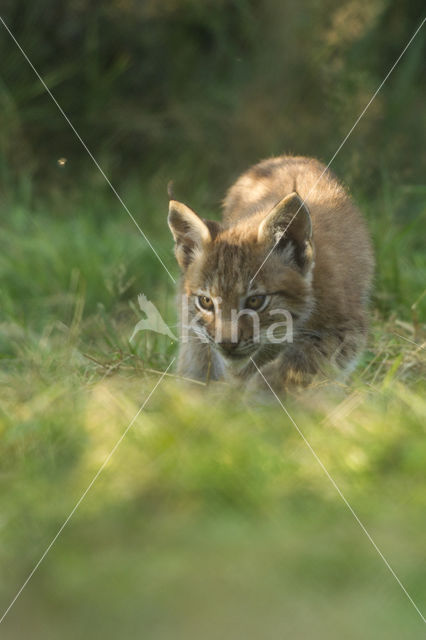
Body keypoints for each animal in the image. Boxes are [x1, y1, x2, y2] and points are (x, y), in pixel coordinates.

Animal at [167, 158, 372, 392]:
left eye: (255, 301)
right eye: (206, 301)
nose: (227, 343)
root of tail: (286, 158)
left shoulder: (346, 326)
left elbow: (301, 361)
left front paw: (263, 393)